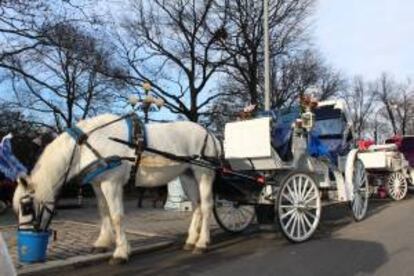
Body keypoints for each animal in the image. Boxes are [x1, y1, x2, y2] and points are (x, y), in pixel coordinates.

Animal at [12, 113, 220, 264]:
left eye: (27, 207)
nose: (25, 237)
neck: (86, 145)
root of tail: (209, 132)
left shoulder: (111, 183)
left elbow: (116, 216)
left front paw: (120, 252)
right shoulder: (98, 184)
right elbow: (103, 212)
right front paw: (102, 243)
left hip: (203, 174)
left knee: (207, 206)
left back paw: (202, 243)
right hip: (187, 176)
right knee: (197, 207)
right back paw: (191, 240)